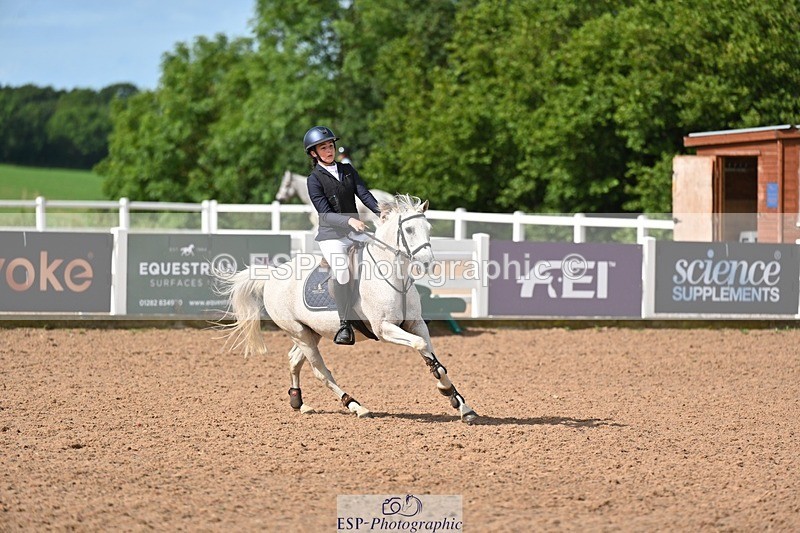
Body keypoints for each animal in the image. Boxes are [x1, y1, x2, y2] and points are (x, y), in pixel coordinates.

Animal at [217, 194, 478, 423]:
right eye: (409, 230)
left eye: (429, 228)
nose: (427, 263)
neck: (394, 276)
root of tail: (272, 275)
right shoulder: (385, 329)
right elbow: (421, 345)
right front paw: (446, 391)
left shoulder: (416, 324)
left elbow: (435, 360)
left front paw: (461, 404)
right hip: (299, 333)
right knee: (320, 371)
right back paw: (355, 405)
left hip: (310, 333)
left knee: (294, 360)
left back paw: (299, 403)